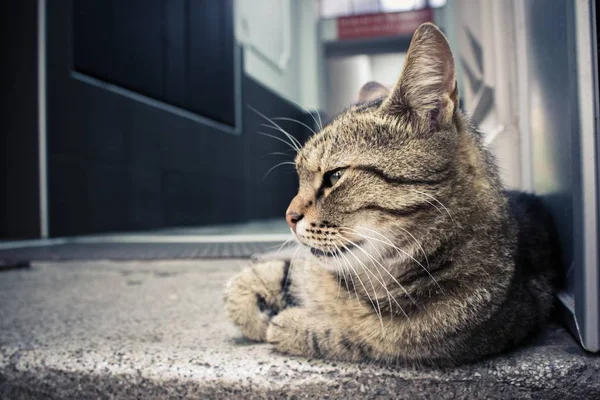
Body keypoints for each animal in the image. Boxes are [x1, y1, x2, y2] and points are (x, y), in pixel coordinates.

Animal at [223, 21, 560, 366]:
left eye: (335, 176)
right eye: (300, 176)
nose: (289, 218)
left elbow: (361, 336)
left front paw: (289, 323)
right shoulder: (308, 269)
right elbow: (263, 278)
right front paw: (256, 309)